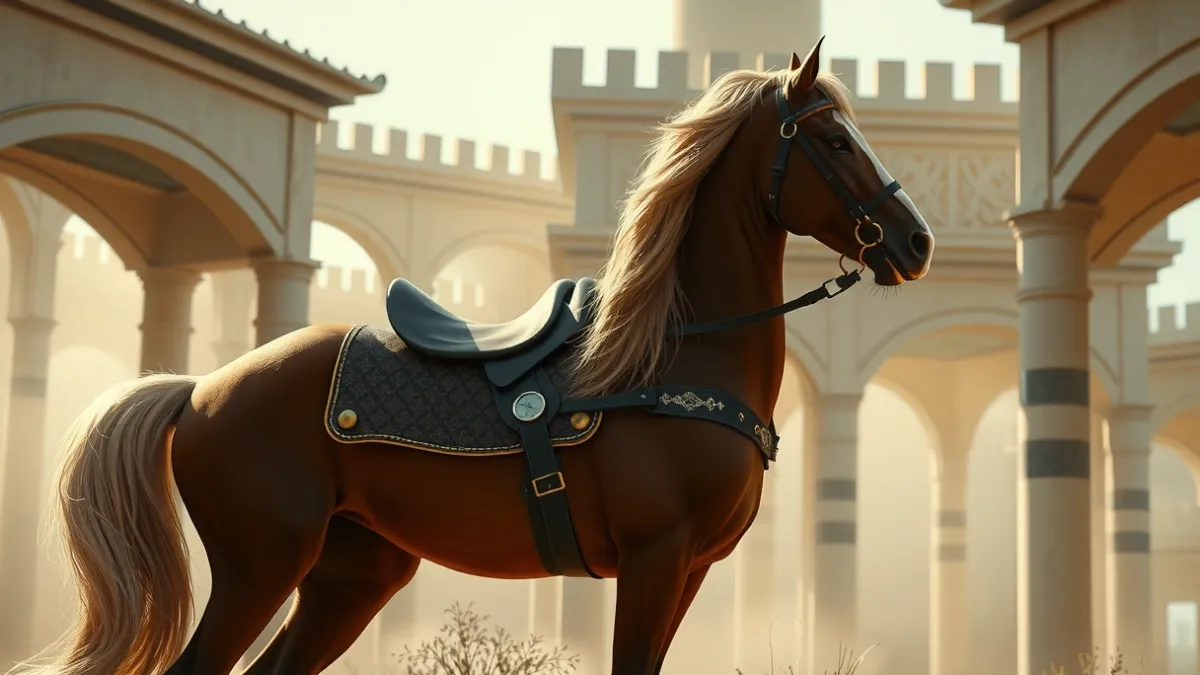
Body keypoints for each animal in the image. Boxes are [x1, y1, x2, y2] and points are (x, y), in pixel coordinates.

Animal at [13, 37, 933, 675]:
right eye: (836, 141)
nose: (916, 243)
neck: (670, 361)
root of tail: (202, 387)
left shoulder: (692, 569)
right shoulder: (654, 557)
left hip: (352, 575)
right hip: (259, 564)